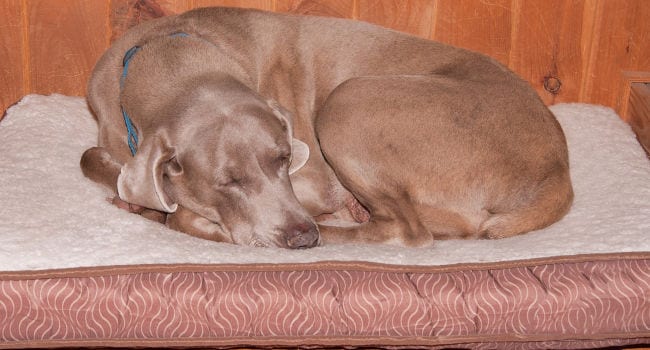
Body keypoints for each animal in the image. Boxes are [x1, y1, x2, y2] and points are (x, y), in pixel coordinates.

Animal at [81, 6, 572, 249]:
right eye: (229, 181)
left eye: (284, 159)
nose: (303, 236)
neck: (168, 54)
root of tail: (558, 170)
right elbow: (91, 158)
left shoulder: (316, 181)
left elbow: (179, 210)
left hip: (347, 102)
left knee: (405, 231)